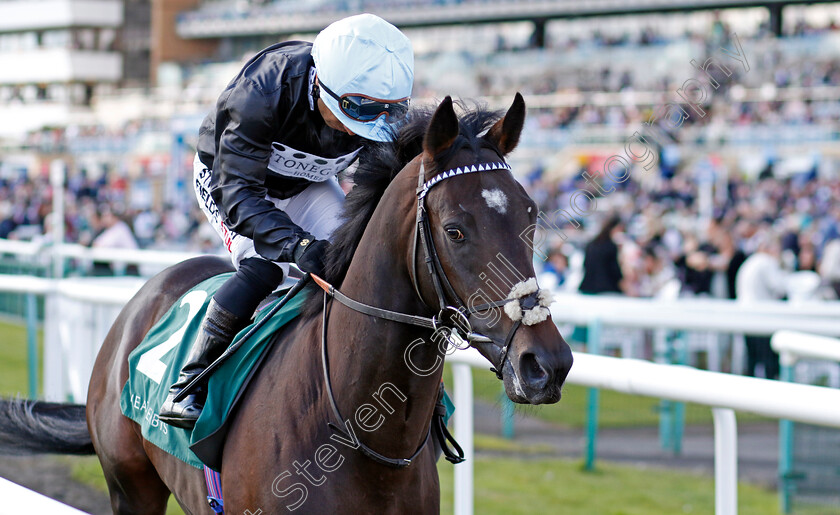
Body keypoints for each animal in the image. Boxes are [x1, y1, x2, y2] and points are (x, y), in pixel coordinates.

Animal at [0, 94, 572, 512]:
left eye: (530, 215)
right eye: (455, 229)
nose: (547, 364)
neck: (361, 435)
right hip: (129, 485)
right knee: (255, 265)